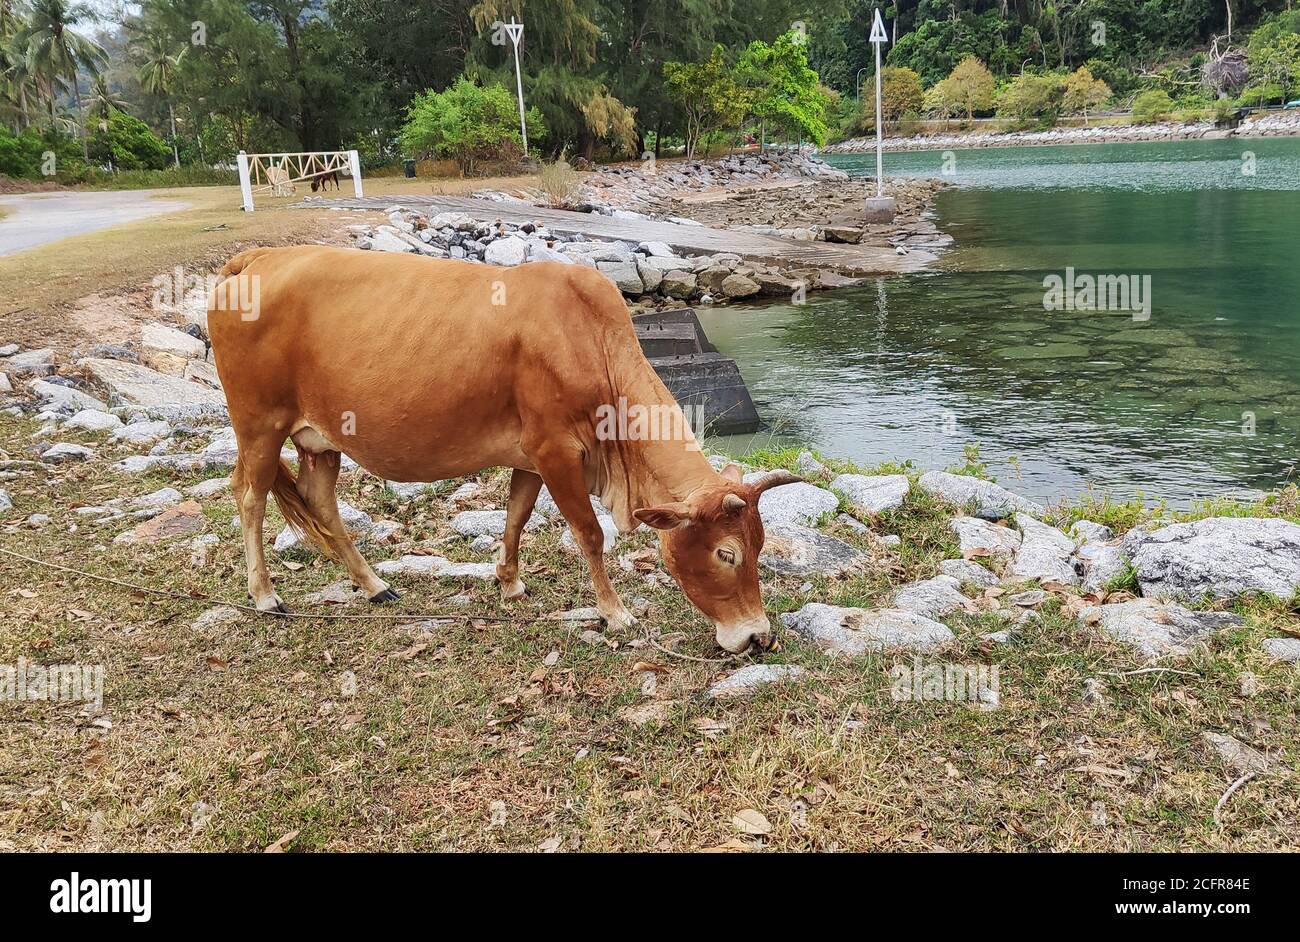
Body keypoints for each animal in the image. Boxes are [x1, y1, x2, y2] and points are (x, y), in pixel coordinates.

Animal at [206, 245, 795, 649]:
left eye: (760, 547)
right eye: (726, 553)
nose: (758, 637)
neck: (592, 341)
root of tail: (256, 256)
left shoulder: (530, 458)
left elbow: (515, 516)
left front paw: (509, 583)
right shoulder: (556, 450)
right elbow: (589, 534)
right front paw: (614, 611)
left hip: (321, 440)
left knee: (320, 502)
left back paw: (374, 585)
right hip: (259, 425)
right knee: (249, 496)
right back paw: (265, 596)